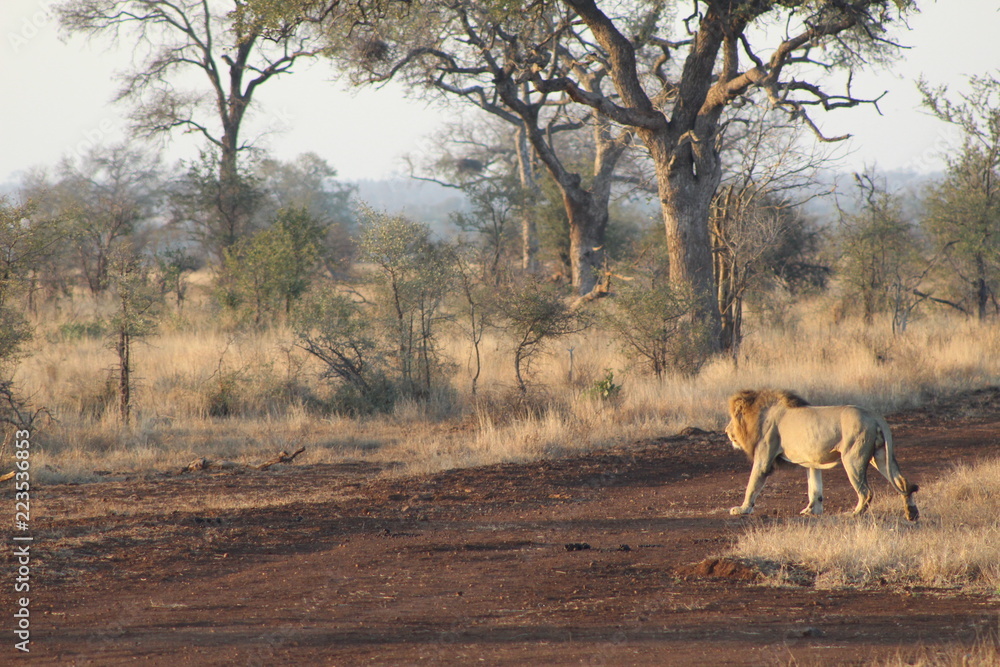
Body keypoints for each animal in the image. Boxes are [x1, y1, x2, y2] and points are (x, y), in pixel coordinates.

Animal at [725, 389, 919, 521]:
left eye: (732, 419)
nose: (726, 430)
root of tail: (874, 416)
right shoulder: (811, 461)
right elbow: (814, 486)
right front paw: (812, 510)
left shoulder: (764, 457)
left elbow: (752, 484)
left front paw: (742, 508)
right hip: (880, 456)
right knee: (902, 482)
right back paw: (912, 513)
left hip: (853, 458)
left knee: (866, 492)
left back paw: (854, 514)